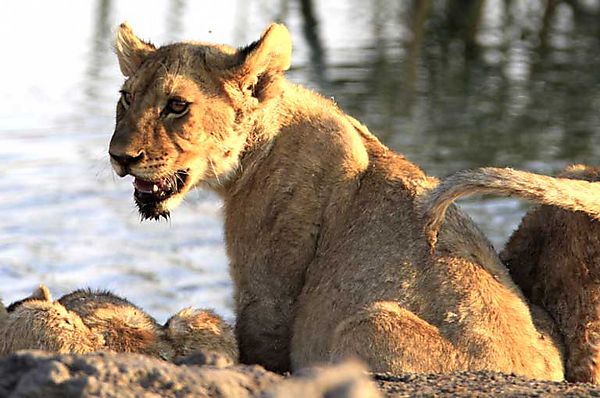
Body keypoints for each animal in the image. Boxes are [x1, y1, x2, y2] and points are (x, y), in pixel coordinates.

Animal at [109, 22, 568, 380]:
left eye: (176, 106)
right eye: (126, 98)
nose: (119, 156)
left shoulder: (268, 294)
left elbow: (261, 342)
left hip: (365, 323)